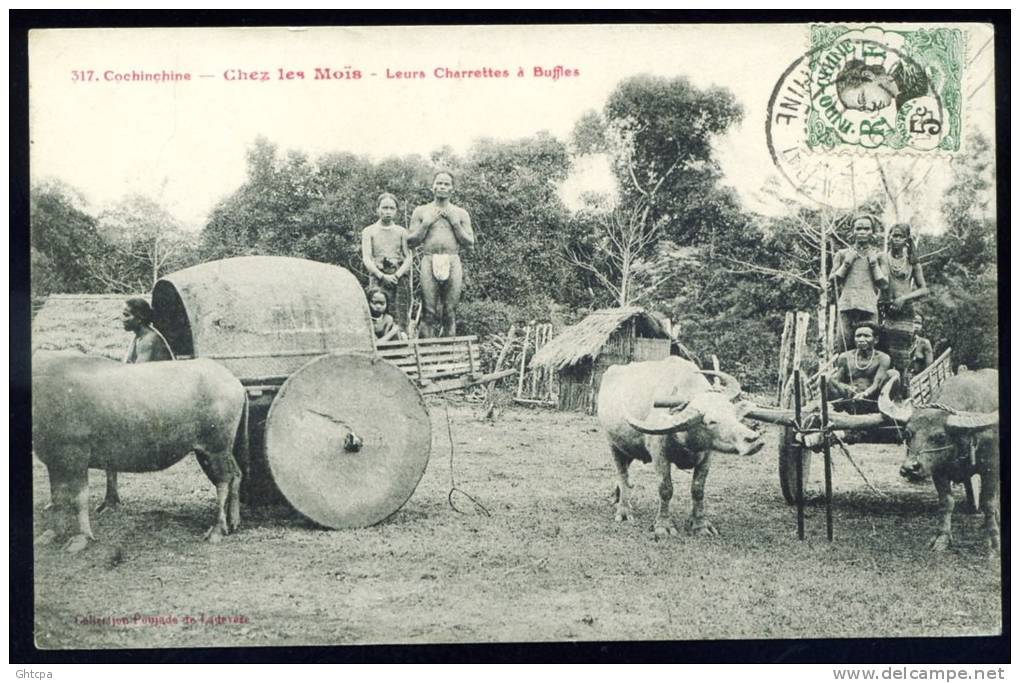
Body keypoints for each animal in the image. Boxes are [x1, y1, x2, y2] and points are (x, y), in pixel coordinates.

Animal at [32, 350, 247, 554]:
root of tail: (235, 382)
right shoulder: (53, 461)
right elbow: (57, 497)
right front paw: (52, 533)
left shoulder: (76, 456)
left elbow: (79, 498)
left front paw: (81, 538)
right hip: (212, 451)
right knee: (236, 474)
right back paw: (234, 521)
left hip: (216, 448)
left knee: (223, 481)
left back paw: (218, 529)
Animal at [595, 358, 767, 542]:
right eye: (711, 421)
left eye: (733, 414)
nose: (752, 439)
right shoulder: (659, 455)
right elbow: (665, 489)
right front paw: (663, 526)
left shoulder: (707, 455)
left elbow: (698, 489)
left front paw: (700, 525)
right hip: (614, 445)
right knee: (623, 475)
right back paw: (624, 510)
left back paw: (618, 498)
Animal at [881, 369, 999, 554]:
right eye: (907, 433)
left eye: (940, 436)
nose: (909, 468)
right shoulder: (937, 471)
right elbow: (946, 502)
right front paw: (942, 538)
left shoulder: (991, 466)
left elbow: (988, 502)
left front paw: (994, 541)